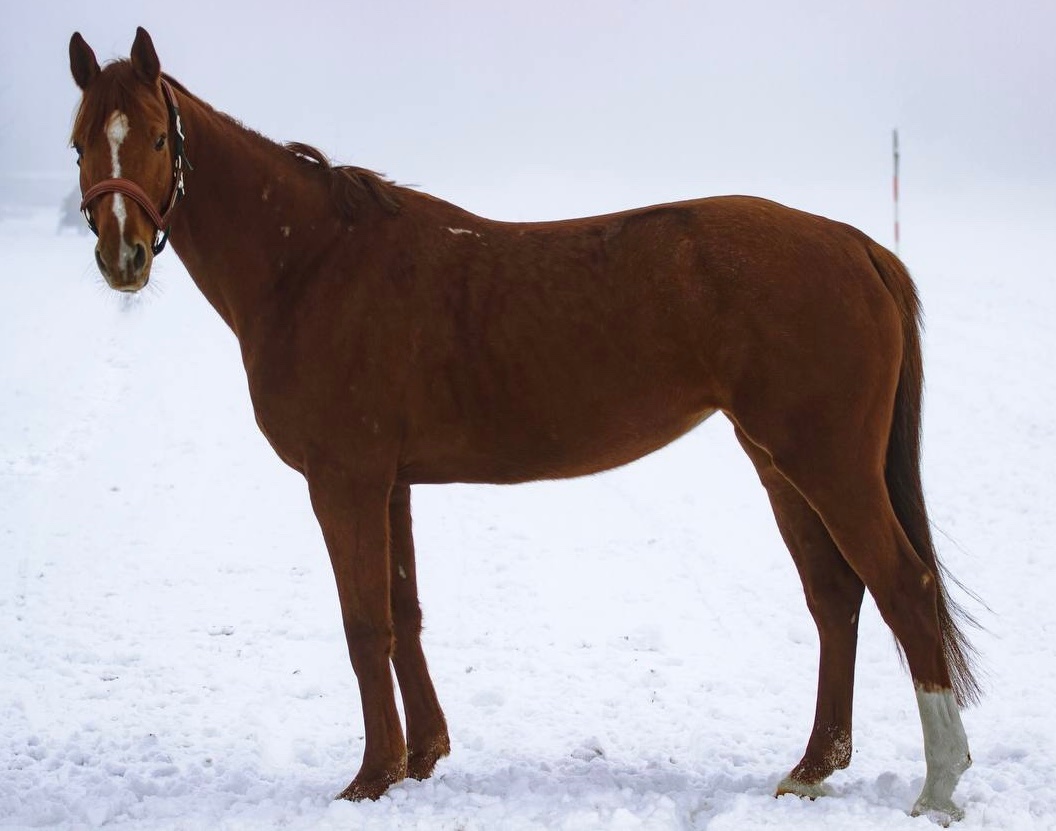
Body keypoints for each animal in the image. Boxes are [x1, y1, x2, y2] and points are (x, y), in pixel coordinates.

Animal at [68, 27, 978, 822]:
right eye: (81, 143)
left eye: (157, 137)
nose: (122, 257)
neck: (313, 264)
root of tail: (855, 244)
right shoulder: (390, 483)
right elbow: (404, 614)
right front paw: (421, 757)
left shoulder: (345, 481)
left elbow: (365, 623)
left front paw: (369, 778)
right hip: (779, 461)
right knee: (836, 595)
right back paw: (813, 767)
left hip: (828, 464)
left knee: (903, 585)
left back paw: (938, 787)